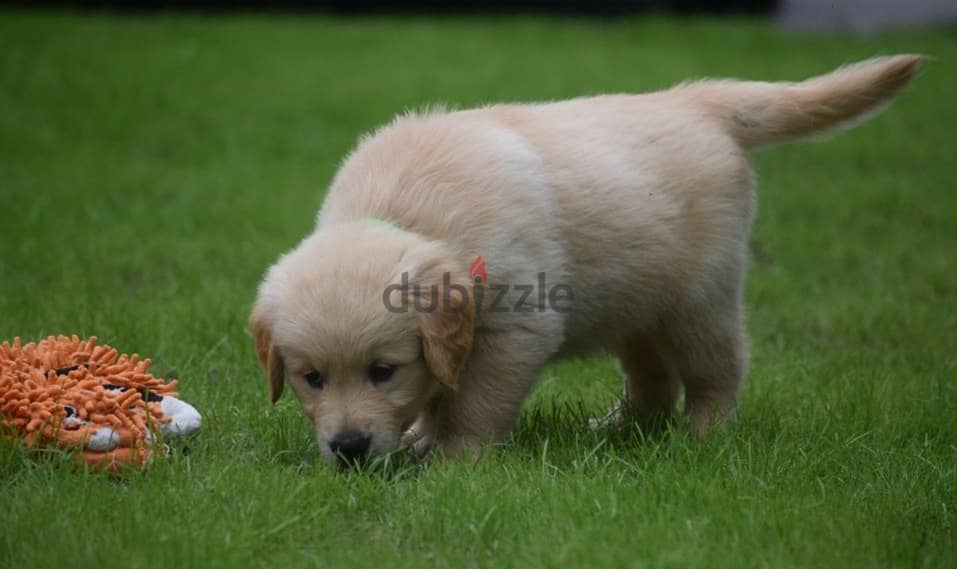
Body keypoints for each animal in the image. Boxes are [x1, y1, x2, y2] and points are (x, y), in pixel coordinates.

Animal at [250, 55, 924, 464]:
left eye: (382, 371)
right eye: (311, 378)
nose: (348, 447)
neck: (405, 209)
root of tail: (695, 101)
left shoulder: (516, 327)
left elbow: (473, 402)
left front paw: (454, 461)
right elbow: (442, 389)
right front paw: (418, 438)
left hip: (698, 300)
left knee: (718, 371)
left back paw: (703, 439)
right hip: (635, 303)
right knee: (652, 381)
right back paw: (619, 429)